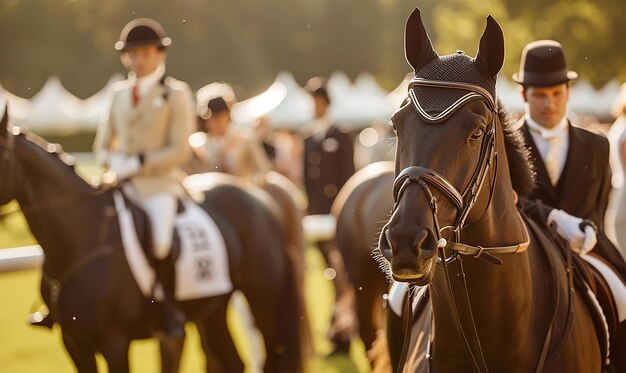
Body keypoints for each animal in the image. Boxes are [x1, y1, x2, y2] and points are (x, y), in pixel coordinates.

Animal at [0, 106, 310, 370]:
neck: (81, 238)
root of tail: (260, 198)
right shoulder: (75, 343)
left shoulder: (115, 342)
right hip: (212, 309)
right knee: (232, 362)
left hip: (263, 301)